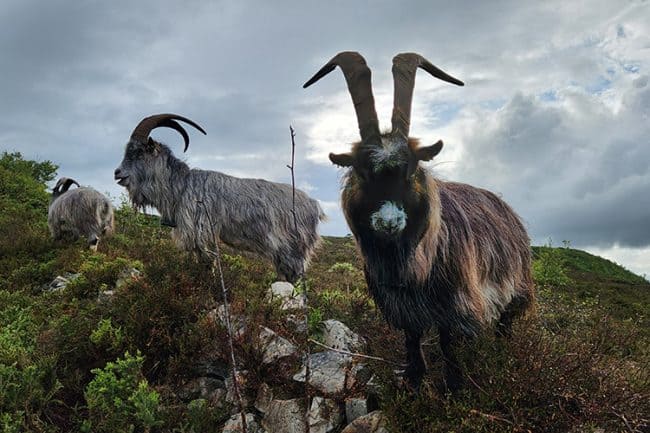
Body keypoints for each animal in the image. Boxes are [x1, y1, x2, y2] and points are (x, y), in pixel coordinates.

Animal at [114, 114, 325, 282]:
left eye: (139, 152)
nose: (117, 173)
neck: (182, 186)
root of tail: (314, 206)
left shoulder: (200, 230)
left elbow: (208, 262)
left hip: (293, 248)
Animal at [304, 52, 534, 391]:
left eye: (411, 170)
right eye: (361, 171)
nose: (389, 222)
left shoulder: (454, 301)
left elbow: (448, 341)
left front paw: (454, 385)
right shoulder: (401, 304)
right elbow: (412, 338)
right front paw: (414, 377)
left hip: (516, 288)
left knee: (504, 324)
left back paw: (500, 354)